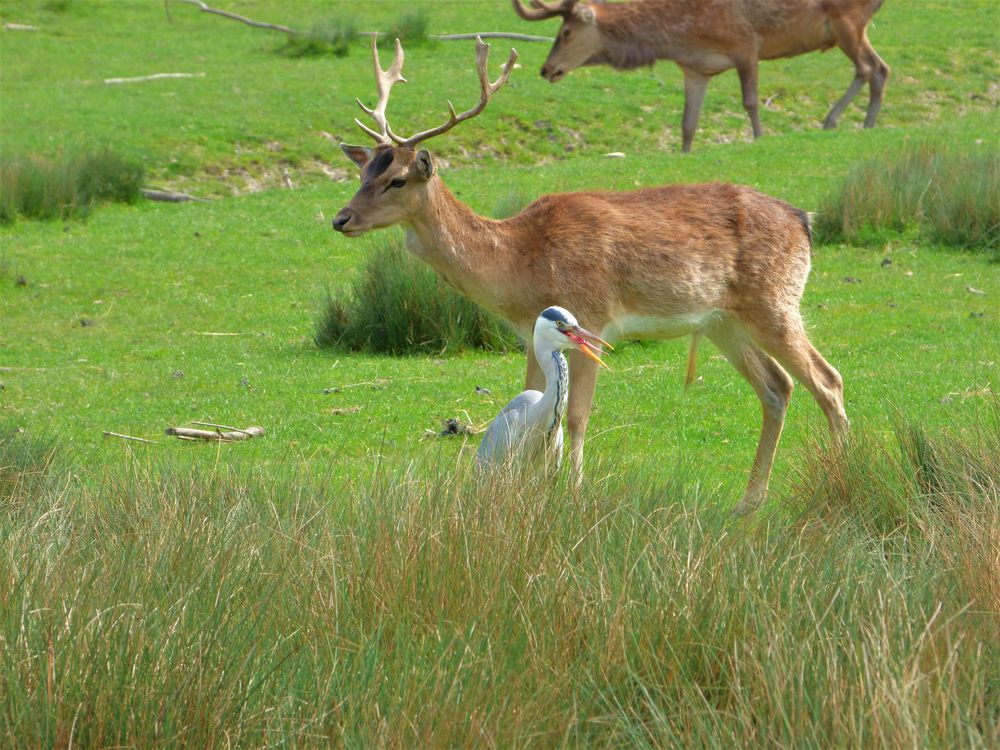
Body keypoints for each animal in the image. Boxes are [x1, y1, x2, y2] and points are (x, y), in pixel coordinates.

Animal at [332, 38, 848, 516]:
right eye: (361, 173)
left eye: (397, 179)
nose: (340, 219)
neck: (519, 264)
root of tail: (804, 220)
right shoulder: (528, 332)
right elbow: (533, 400)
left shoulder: (593, 317)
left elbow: (577, 416)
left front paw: (574, 490)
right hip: (723, 321)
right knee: (778, 387)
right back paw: (749, 501)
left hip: (775, 301)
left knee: (828, 380)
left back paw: (838, 484)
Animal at [512, 0, 888, 153]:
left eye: (566, 32)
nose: (546, 69)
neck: (680, 36)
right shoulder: (695, 69)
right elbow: (688, 123)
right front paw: (684, 153)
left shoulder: (746, 43)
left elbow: (751, 102)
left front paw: (759, 137)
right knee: (880, 68)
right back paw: (862, 122)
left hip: (847, 20)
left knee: (869, 67)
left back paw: (837, 121)